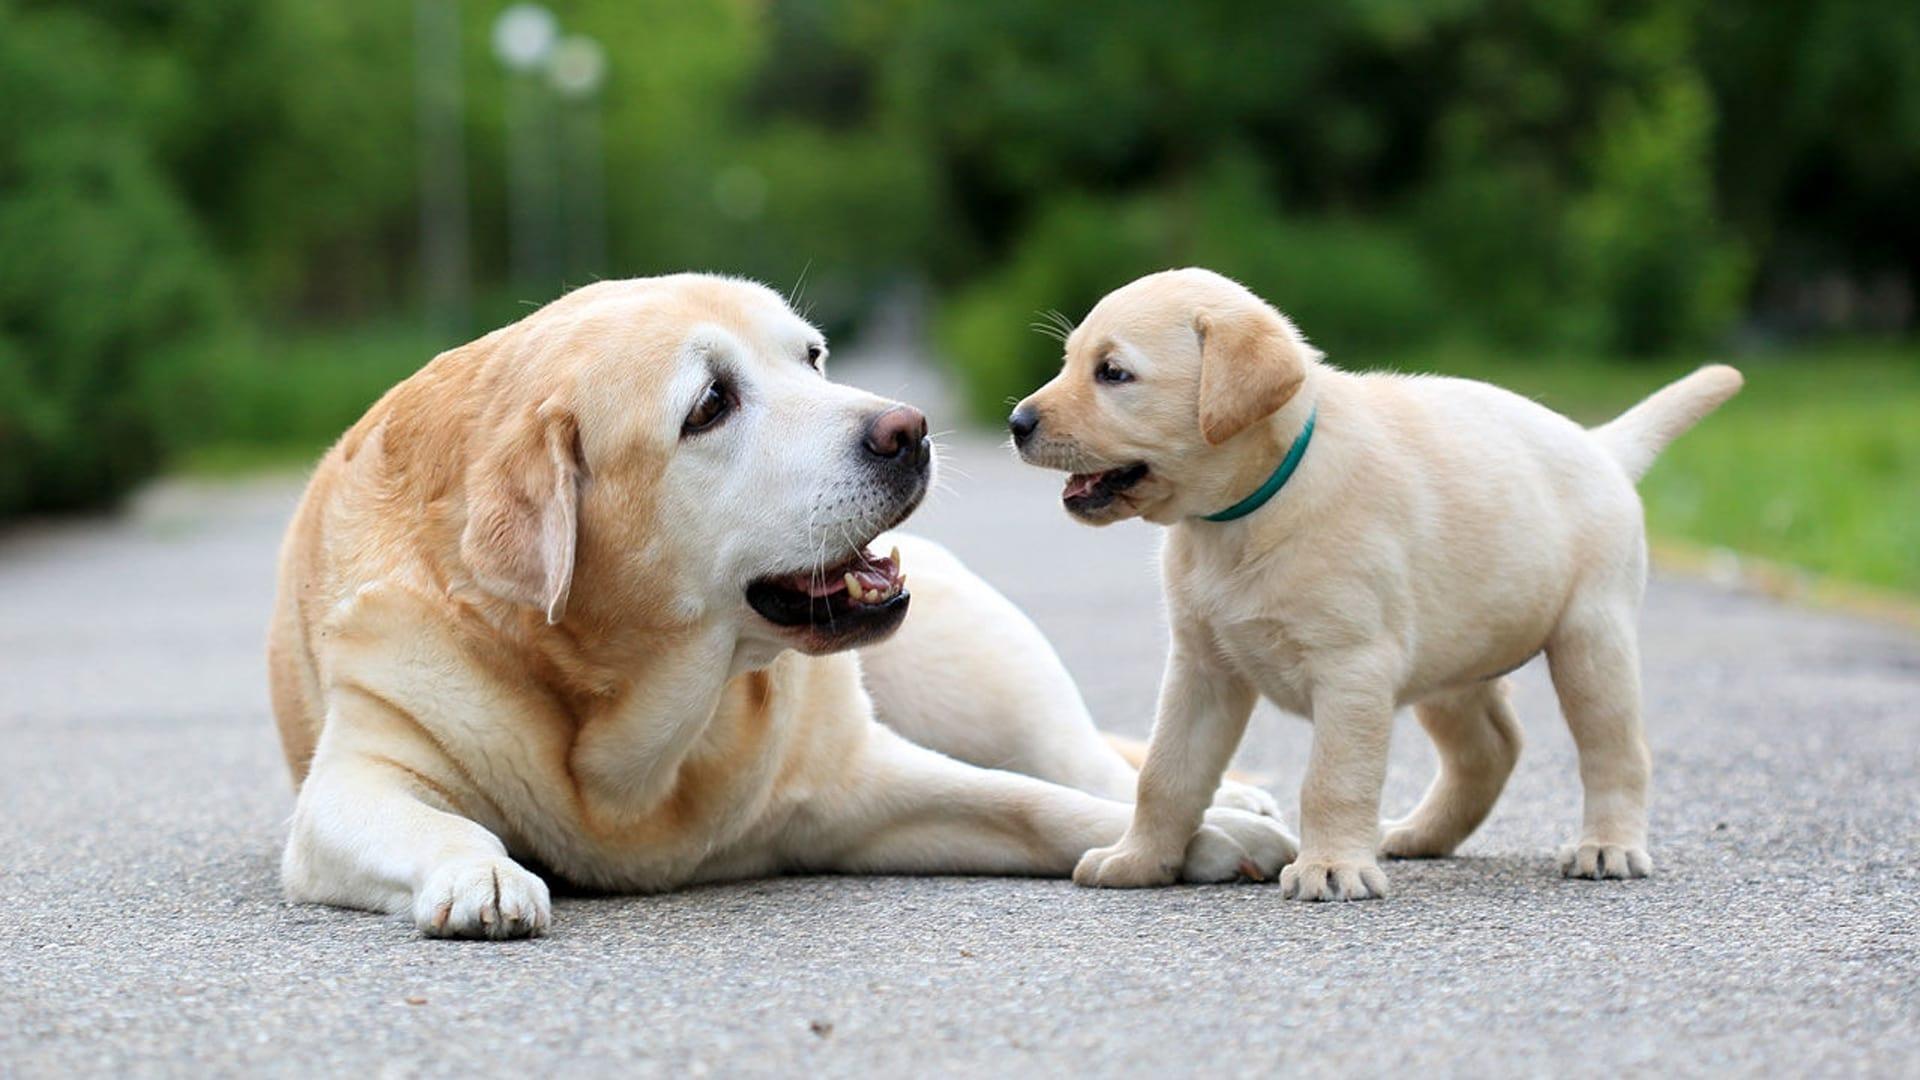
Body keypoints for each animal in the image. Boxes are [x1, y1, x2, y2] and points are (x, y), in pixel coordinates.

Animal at [270, 270, 1297, 933]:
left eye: (812, 357)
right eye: (709, 405)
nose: (910, 429)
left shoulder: (861, 780)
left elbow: (1040, 804)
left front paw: (1202, 837)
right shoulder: (352, 782)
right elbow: (431, 819)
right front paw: (481, 871)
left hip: (983, 671)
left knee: (1079, 759)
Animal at [1006, 267, 1743, 899]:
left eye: (1113, 373)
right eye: (1070, 361)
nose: (1017, 423)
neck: (1249, 511)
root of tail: (1601, 445)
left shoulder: (1351, 669)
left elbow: (1333, 780)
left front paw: (1331, 866)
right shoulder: (1202, 669)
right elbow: (1166, 774)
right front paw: (1140, 859)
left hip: (1591, 642)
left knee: (1616, 751)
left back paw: (1608, 846)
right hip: (1451, 666)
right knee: (1491, 750)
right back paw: (1418, 833)